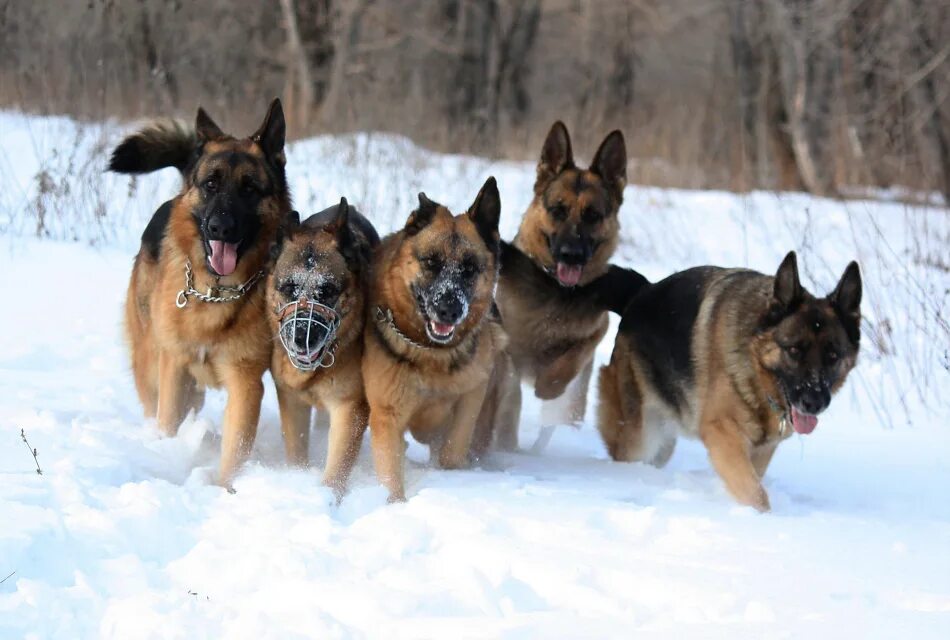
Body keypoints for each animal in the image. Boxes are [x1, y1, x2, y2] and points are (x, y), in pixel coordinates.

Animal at [111, 99, 292, 484]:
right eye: (211, 184)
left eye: (250, 189)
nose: (220, 227)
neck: (217, 292)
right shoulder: (174, 371)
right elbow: (167, 422)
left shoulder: (244, 384)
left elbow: (234, 452)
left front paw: (225, 489)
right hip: (151, 365)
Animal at [268, 198, 380, 498]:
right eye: (289, 287)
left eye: (327, 290)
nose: (301, 336)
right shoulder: (291, 400)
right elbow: (296, 450)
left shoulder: (350, 407)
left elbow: (337, 468)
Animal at [364, 178, 510, 502]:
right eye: (431, 262)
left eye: (469, 268)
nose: (449, 309)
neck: (430, 352)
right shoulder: (387, 415)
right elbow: (391, 475)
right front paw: (395, 505)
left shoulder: (472, 396)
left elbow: (452, 452)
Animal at [490, 121, 632, 450]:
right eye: (558, 210)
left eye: (593, 215)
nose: (571, 254)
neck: (555, 289)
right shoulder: (507, 348)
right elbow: (512, 395)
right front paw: (506, 439)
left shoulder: (596, 331)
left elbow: (570, 358)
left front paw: (548, 385)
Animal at [604, 252, 864, 512]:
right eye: (794, 350)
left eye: (833, 356)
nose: (814, 402)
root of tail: (641, 292)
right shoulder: (722, 434)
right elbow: (756, 494)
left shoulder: (760, 451)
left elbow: (753, 482)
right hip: (641, 437)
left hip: (663, 444)